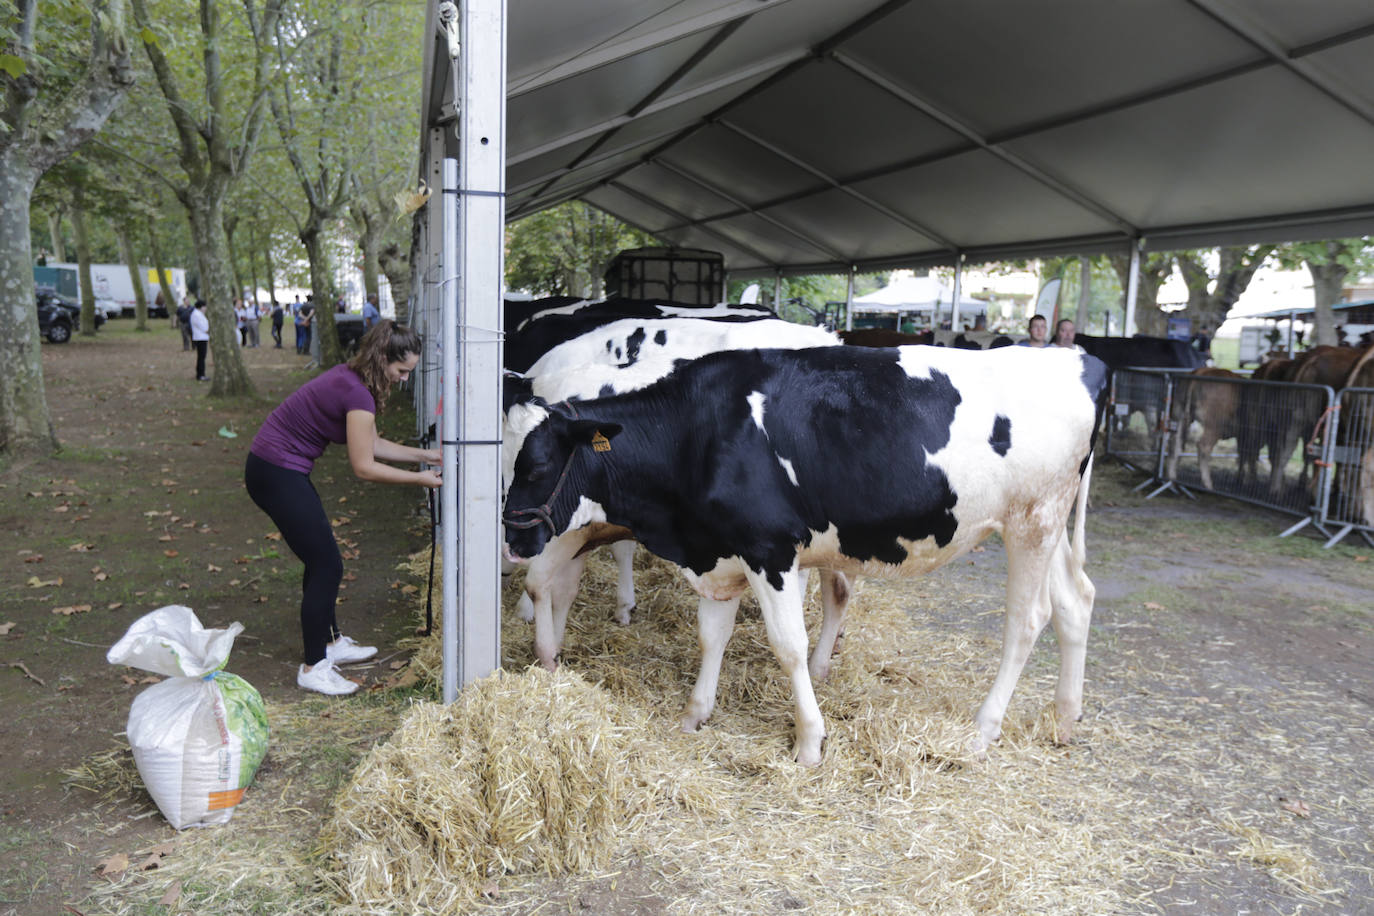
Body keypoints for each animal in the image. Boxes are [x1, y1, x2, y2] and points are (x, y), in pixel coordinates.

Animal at [505, 347, 1104, 763]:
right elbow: (712, 635)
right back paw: (1064, 718)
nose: (512, 539)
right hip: (1045, 527)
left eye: (537, 465)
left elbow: (789, 646)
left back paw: (983, 728)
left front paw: (810, 741)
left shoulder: (769, 549)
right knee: (1075, 602)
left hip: (1033, 521)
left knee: (1027, 620)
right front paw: (695, 714)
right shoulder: (722, 551)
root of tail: (1077, 357)